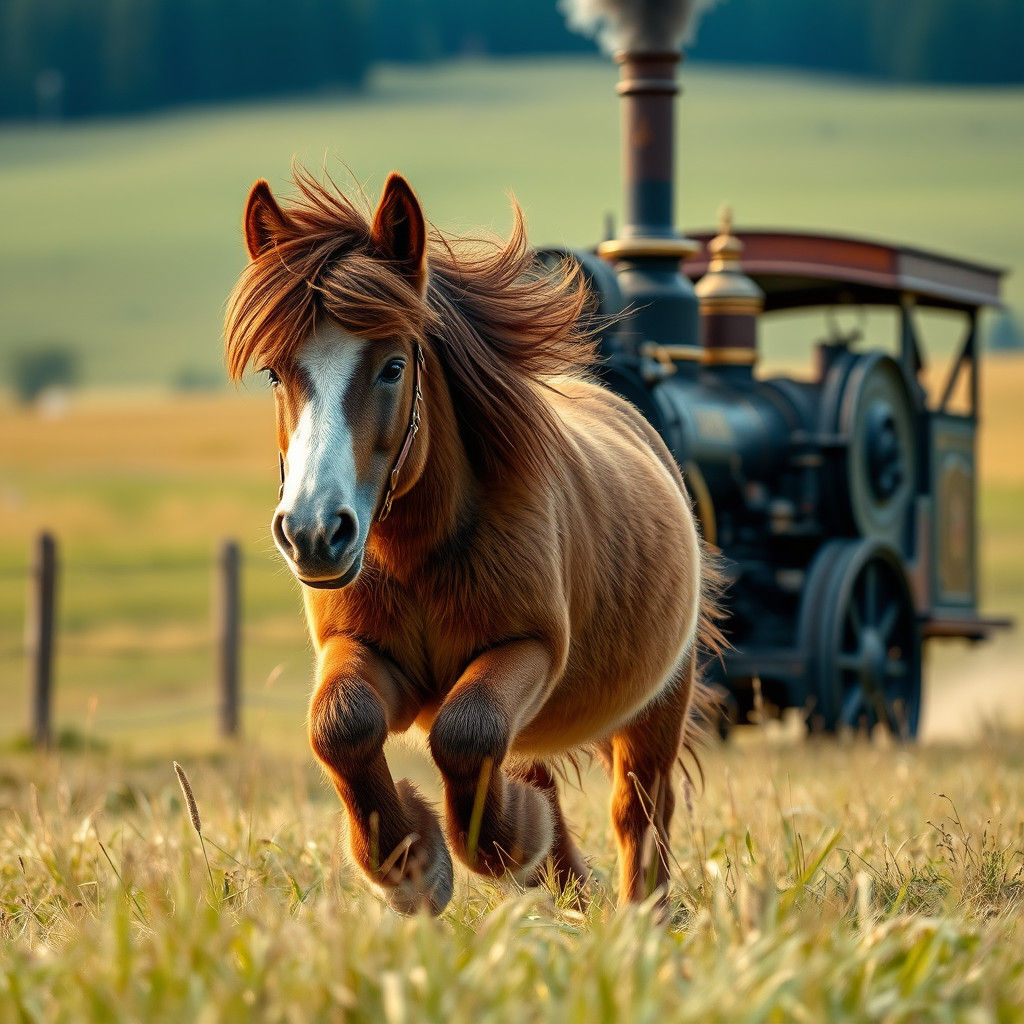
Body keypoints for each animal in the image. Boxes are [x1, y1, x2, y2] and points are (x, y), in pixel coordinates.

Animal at [225, 168, 722, 915]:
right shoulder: (361, 649)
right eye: (276, 373)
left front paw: (509, 840)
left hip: (658, 701)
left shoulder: (528, 649)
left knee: (641, 810)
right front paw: (412, 861)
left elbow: (467, 735)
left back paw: (641, 914)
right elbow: (341, 726)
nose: (314, 531)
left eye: (393, 366)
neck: (419, 554)